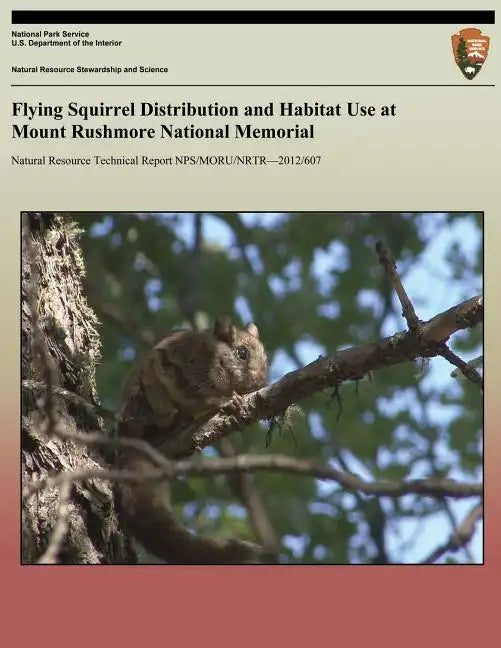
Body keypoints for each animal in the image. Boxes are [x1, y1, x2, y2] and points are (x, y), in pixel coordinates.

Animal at [116, 313, 268, 564]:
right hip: (147, 396)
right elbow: (201, 395)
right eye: (242, 353)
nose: (261, 382)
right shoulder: (184, 369)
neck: (214, 355)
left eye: (266, 357)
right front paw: (226, 401)